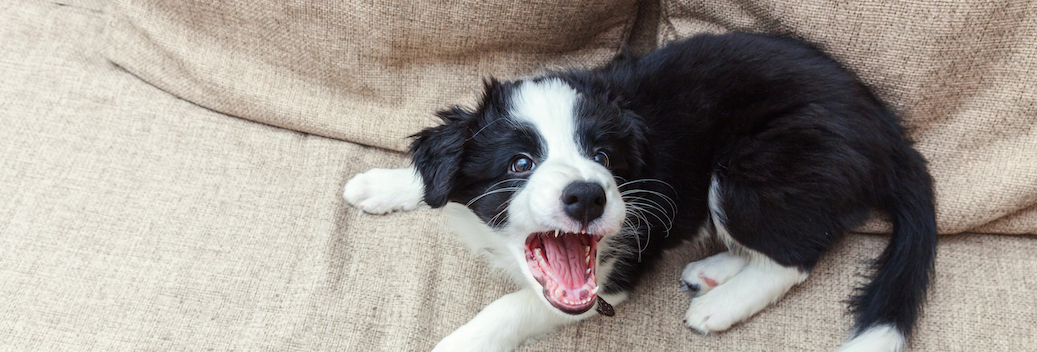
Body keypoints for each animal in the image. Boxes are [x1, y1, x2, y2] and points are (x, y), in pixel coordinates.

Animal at [344, 31, 937, 350]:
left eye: (604, 157)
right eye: (520, 163)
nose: (588, 196)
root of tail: (886, 131)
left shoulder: (618, 268)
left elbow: (514, 306)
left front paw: (457, 341)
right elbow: (432, 176)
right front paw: (382, 182)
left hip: (755, 167)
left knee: (796, 254)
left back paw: (719, 304)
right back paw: (714, 271)